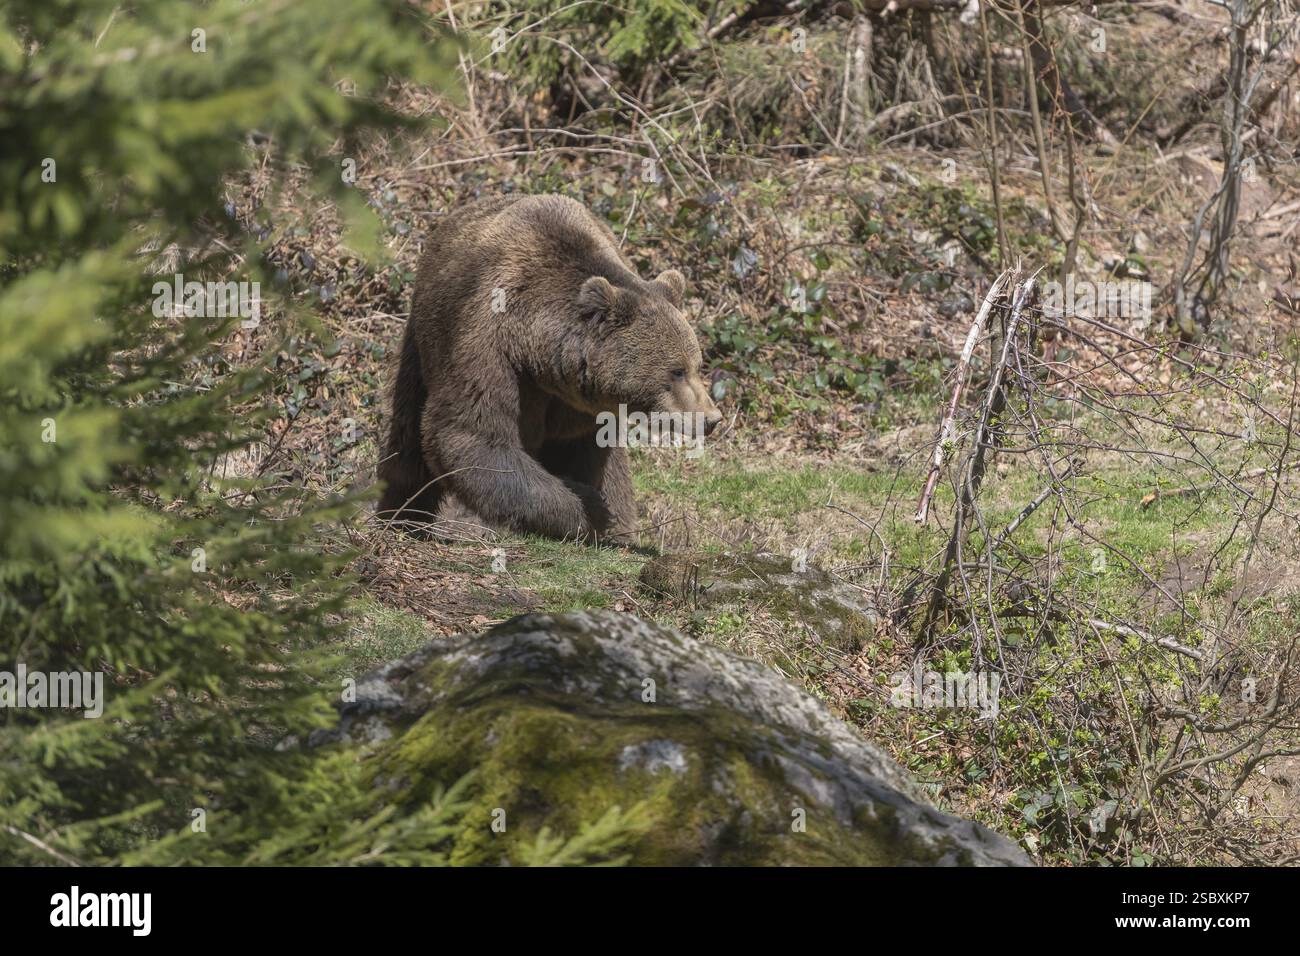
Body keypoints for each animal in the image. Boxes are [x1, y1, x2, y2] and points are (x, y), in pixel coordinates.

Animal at [377, 193, 722, 542]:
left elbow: (592, 452)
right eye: (677, 370)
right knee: (408, 433)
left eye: (696, 365)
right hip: (424, 339)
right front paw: (589, 507)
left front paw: (607, 518)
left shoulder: (583, 405)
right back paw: (402, 517)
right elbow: (473, 433)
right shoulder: (488, 345)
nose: (711, 419)